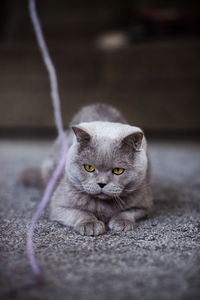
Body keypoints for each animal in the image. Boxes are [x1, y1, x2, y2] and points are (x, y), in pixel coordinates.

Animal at [23, 104, 153, 236]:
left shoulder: (144, 204)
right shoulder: (59, 205)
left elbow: (128, 211)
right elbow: (81, 212)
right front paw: (90, 225)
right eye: (89, 167)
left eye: (118, 170)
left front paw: (122, 222)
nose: (101, 183)